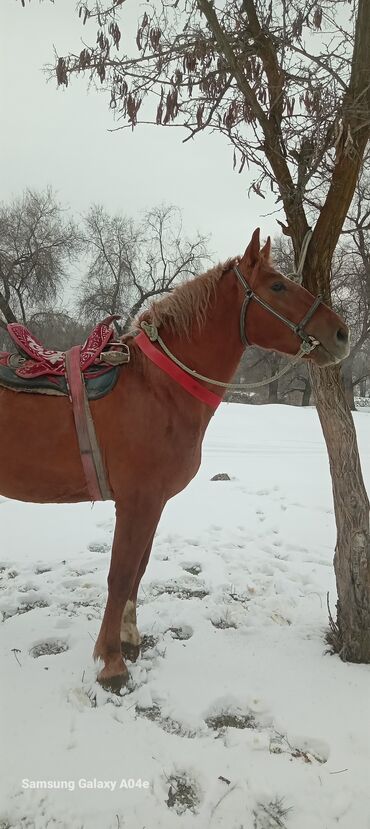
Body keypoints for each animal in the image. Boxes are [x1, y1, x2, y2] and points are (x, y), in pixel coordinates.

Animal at [0, 230, 348, 688]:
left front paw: (129, 639)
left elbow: (138, 571)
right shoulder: (136, 503)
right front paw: (112, 662)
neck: (158, 388)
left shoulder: (153, 503)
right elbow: (119, 575)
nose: (342, 333)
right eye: (277, 286)